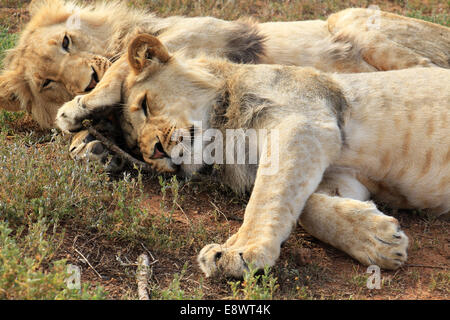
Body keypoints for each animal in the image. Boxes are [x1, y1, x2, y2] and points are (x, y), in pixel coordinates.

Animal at [0, 0, 450, 170]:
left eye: (66, 41)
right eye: (48, 81)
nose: (85, 80)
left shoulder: (201, 47)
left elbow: (125, 66)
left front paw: (78, 110)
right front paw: (92, 142)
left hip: (350, 18)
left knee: (423, 67)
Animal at [56, 33, 450, 276]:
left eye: (145, 105)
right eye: (133, 143)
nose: (154, 153)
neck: (225, 135)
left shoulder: (305, 122)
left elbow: (268, 195)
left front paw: (239, 252)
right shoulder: (340, 176)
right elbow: (309, 208)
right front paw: (378, 239)